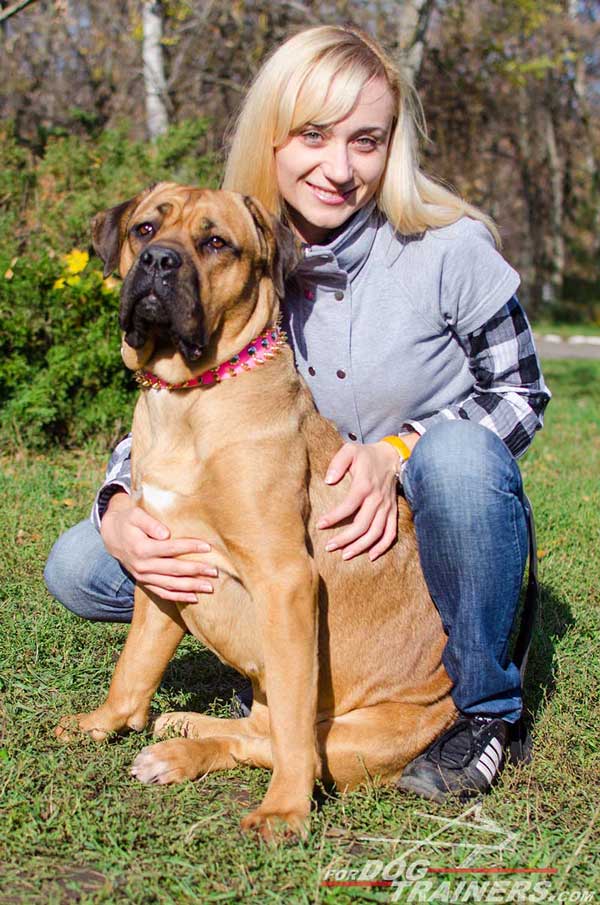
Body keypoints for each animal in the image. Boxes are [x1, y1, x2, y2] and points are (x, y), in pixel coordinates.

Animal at [57, 182, 454, 840]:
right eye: (145, 230)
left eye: (216, 243)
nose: (159, 262)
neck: (189, 400)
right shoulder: (161, 563)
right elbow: (133, 663)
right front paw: (104, 722)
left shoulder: (286, 580)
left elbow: (291, 732)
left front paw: (285, 810)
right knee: (259, 727)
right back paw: (183, 728)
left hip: (358, 734)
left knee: (289, 741)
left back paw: (183, 752)